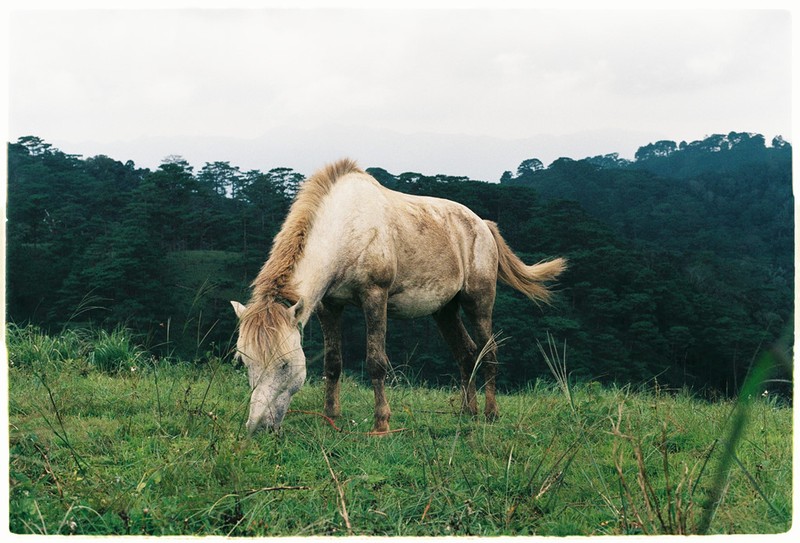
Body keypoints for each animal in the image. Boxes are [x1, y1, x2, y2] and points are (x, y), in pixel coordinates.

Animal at [231, 159, 568, 436]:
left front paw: (382, 423)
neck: (346, 227)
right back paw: (467, 412)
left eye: (285, 365)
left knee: (489, 351)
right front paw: (331, 416)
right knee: (466, 353)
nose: (258, 427)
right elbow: (332, 362)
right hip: (445, 310)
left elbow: (376, 362)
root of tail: (482, 224)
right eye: (245, 361)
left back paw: (490, 413)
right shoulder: (330, 305)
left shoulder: (375, 297)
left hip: (479, 302)